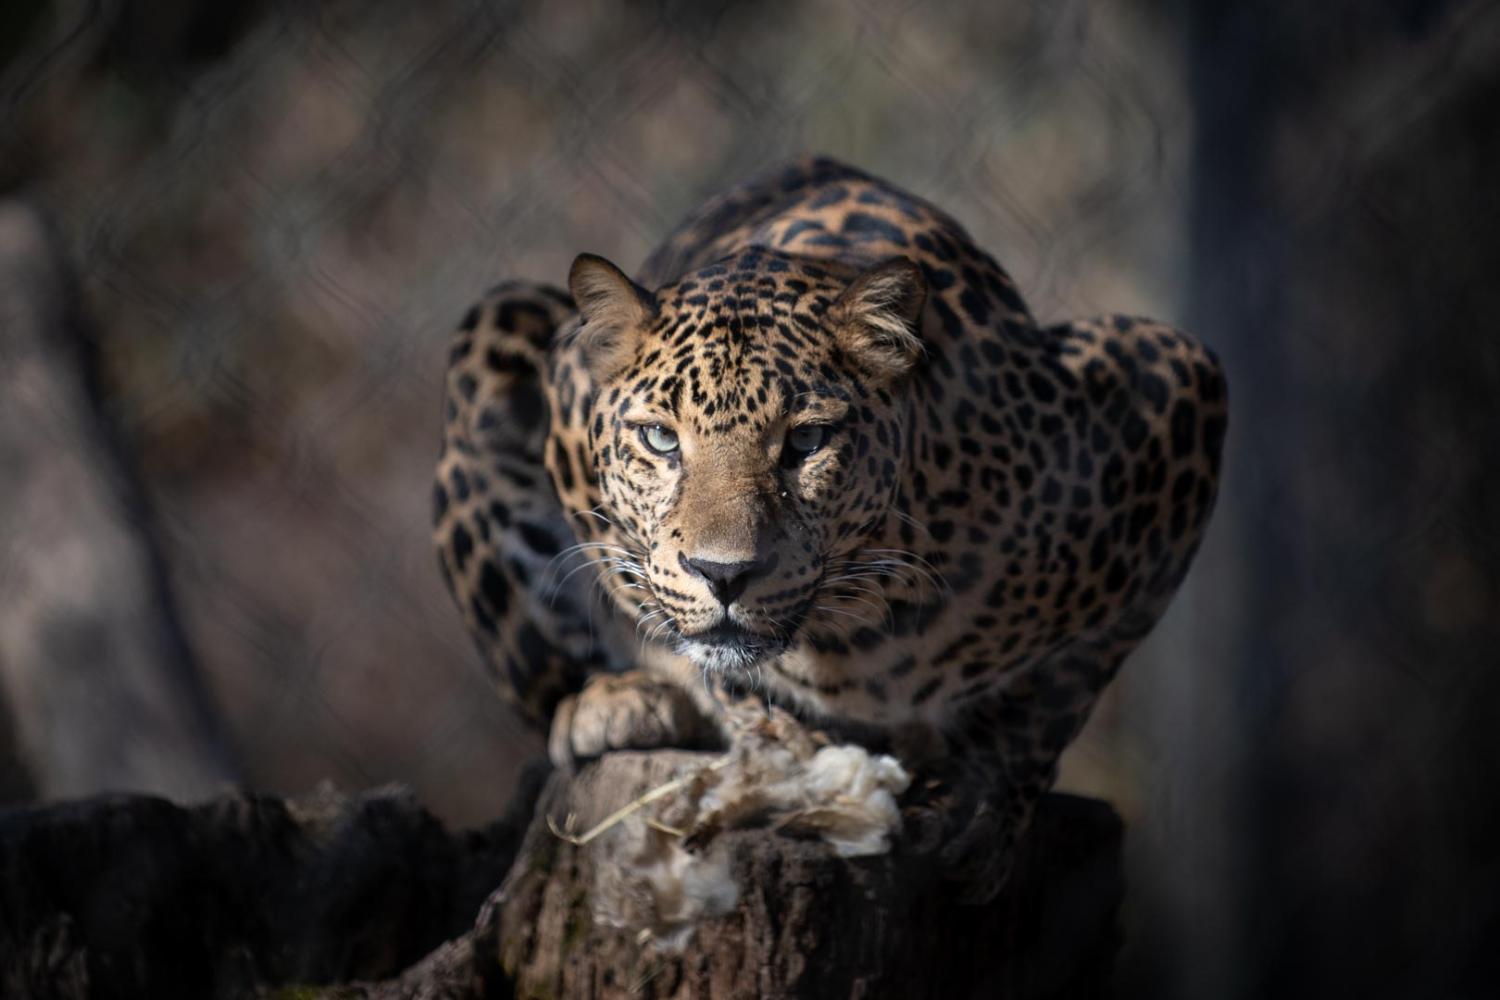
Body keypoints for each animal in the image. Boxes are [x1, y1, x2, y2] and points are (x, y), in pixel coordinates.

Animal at [429, 156, 1224, 899]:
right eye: (659, 439)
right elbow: (658, 600)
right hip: (497, 322)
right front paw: (769, 734)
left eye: (806, 442)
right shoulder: (569, 389)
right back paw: (615, 703)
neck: (857, 634)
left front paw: (982, 802)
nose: (723, 574)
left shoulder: (1174, 381)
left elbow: (1062, 693)